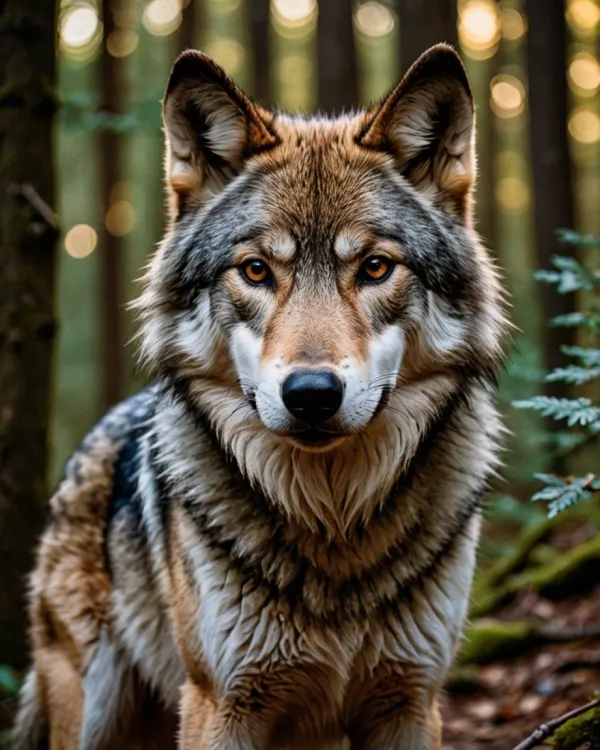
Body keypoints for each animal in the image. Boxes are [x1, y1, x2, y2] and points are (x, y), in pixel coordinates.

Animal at [14, 44, 507, 750]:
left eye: (375, 268)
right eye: (255, 271)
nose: (311, 394)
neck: (334, 530)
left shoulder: (410, 702)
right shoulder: (222, 703)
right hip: (93, 712)